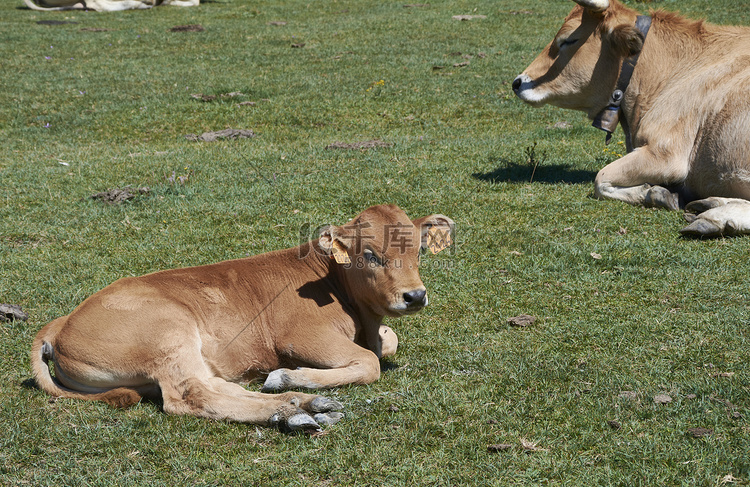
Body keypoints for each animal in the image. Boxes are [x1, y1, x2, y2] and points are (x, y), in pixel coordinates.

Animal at [32, 204, 456, 432]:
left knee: (219, 386)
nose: (415, 295)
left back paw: (302, 405)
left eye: (419, 249)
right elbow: (370, 362)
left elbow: (388, 341)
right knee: (192, 396)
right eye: (369, 254)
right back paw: (290, 407)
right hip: (169, 331)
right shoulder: (299, 336)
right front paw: (292, 373)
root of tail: (60, 323)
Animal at [516, 0, 750, 237]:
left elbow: (600, 179)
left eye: (569, 39)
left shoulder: (666, 153)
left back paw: (715, 217)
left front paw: (657, 194)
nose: (517, 82)